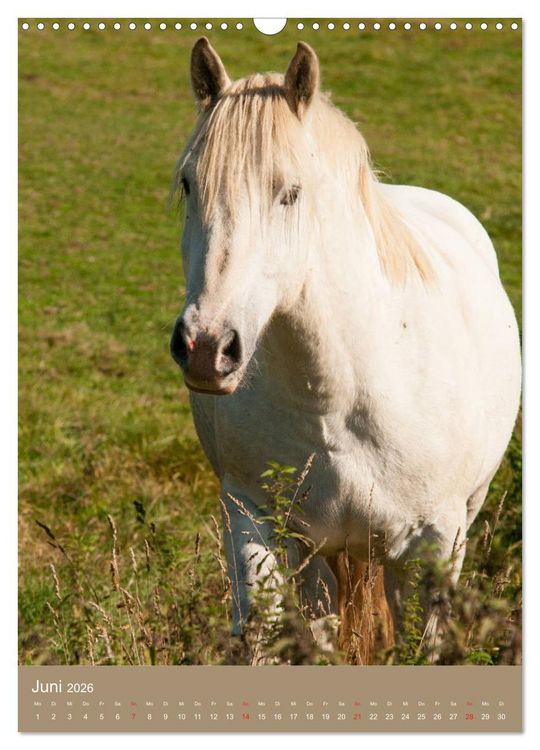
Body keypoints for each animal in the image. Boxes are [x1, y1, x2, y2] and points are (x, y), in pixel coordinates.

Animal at [170, 38, 521, 663]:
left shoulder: (434, 548)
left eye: (290, 194)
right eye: (189, 184)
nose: (206, 348)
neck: (339, 397)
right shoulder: (253, 524)